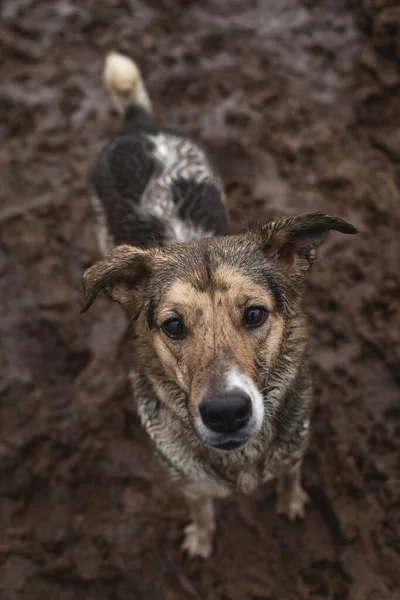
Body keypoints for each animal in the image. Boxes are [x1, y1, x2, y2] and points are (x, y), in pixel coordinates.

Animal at [81, 51, 356, 556]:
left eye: (255, 314)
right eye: (173, 326)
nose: (226, 412)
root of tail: (137, 124)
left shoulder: (295, 446)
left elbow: (290, 475)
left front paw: (291, 502)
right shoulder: (187, 480)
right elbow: (202, 509)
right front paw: (202, 539)